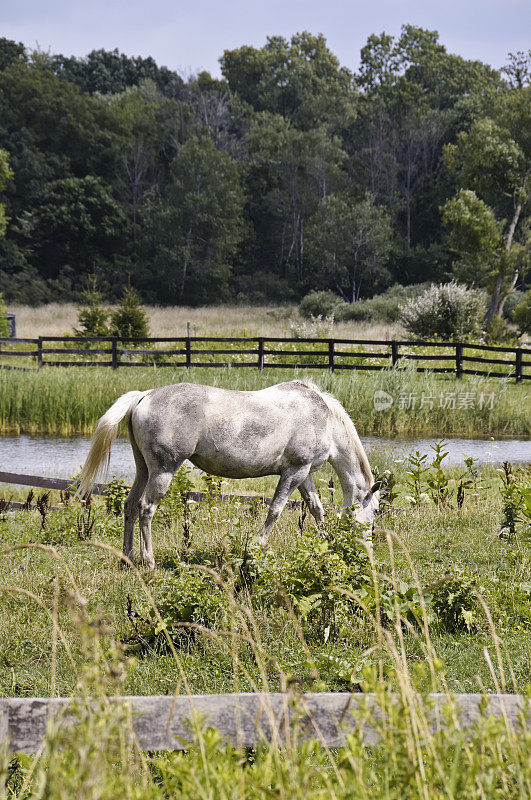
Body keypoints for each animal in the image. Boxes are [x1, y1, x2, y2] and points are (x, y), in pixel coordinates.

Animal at [77, 382, 380, 568]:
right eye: (375, 510)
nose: (369, 550)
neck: (324, 419)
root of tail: (145, 395)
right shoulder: (294, 472)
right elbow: (275, 510)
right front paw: (258, 547)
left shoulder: (303, 474)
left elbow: (316, 509)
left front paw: (327, 543)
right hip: (163, 471)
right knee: (146, 508)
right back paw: (149, 561)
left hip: (143, 470)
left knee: (129, 506)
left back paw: (127, 558)